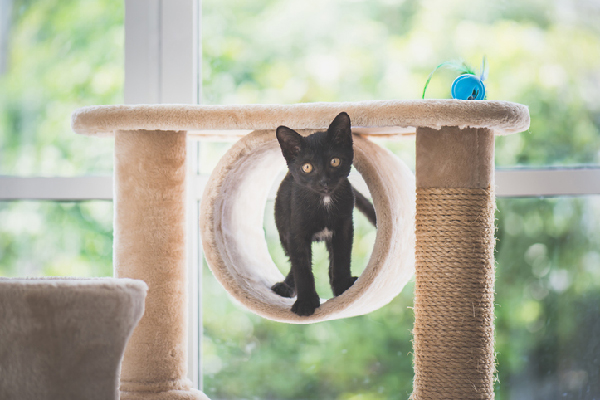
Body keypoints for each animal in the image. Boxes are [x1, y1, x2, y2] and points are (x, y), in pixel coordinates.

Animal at [272, 111, 376, 316]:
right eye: (307, 167)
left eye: (334, 161)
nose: (324, 182)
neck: (325, 202)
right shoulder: (296, 233)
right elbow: (302, 267)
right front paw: (306, 302)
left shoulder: (345, 227)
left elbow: (341, 259)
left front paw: (342, 286)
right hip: (283, 231)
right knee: (293, 262)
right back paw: (287, 285)